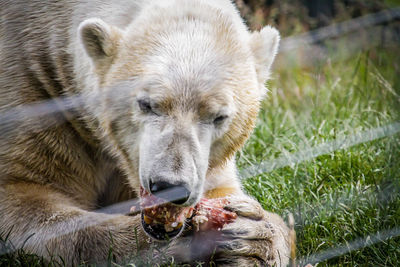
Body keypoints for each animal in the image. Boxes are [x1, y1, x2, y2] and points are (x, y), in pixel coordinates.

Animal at [0, 0, 290, 266]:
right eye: (146, 104)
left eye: (219, 116)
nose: (170, 187)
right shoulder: (34, 88)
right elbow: (25, 196)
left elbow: (222, 189)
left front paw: (253, 236)